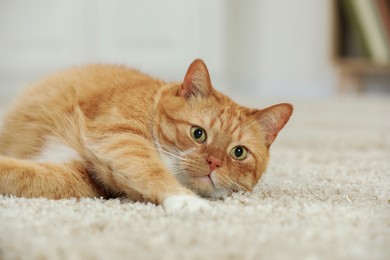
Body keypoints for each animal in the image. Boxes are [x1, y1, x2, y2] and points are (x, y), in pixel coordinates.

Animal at [0, 59, 292, 211]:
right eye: (198, 134)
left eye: (238, 152)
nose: (214, 162)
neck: (152, 105)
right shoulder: (120, 136)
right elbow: (151, 170)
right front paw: (187, 200)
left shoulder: (74, 177)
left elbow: (26, 176)